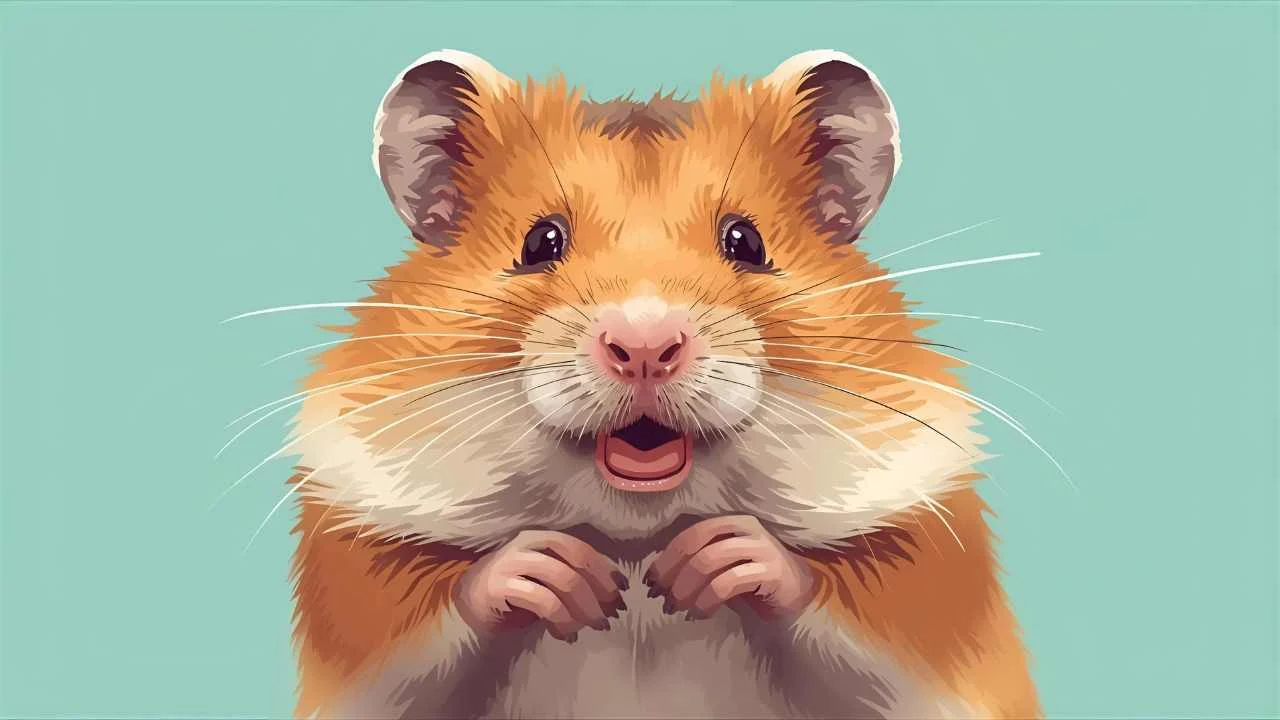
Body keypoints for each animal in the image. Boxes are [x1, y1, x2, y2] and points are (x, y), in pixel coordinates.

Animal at [286, 49, 1041, 719]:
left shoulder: (934, 582)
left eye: (746, 241)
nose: (645, 346)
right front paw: (564, 578)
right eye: (540, 242)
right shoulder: (354, 579)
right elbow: (411, 628)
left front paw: (712, 563)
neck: (636, 539)